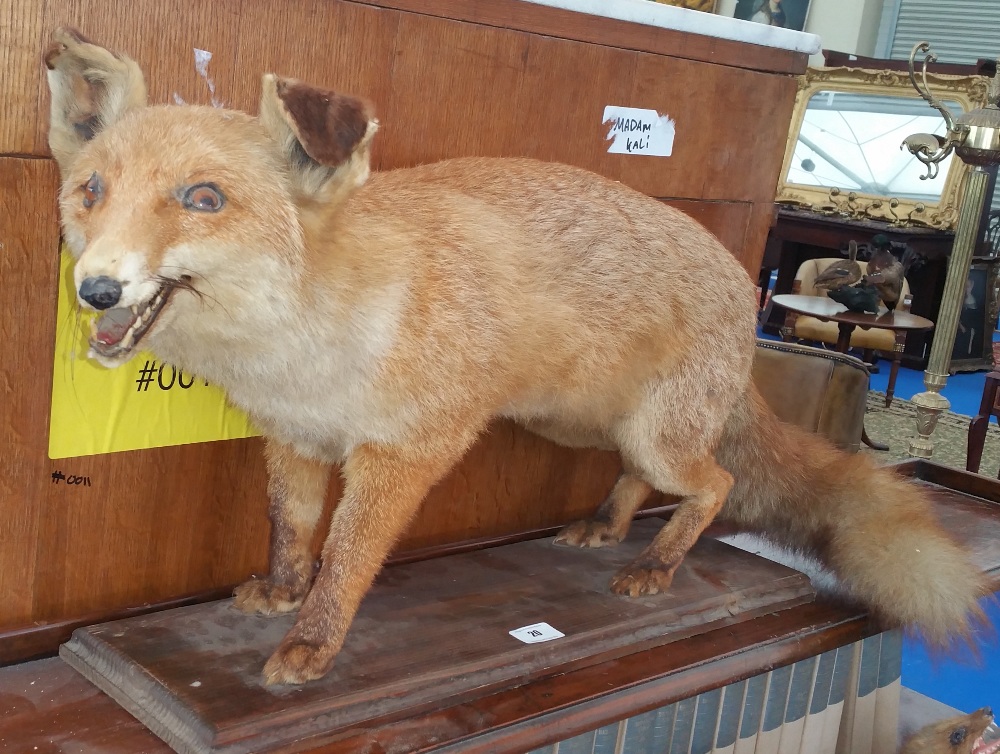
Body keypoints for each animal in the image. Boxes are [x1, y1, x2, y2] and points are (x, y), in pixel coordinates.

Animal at [47, 26, 984, 684]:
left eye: (203, 199)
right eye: (91, 191)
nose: (94, 290)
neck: (307, 350)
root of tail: (739, 277)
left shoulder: (403, 453)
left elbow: (347, 559)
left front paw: (311, 644)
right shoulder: (295, 438)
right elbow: (292, 529)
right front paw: (280, 593)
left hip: (660, 437)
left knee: (713, 484)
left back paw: (654, 564)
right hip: (588, 429)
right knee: (639, 478)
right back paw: (606, 526)